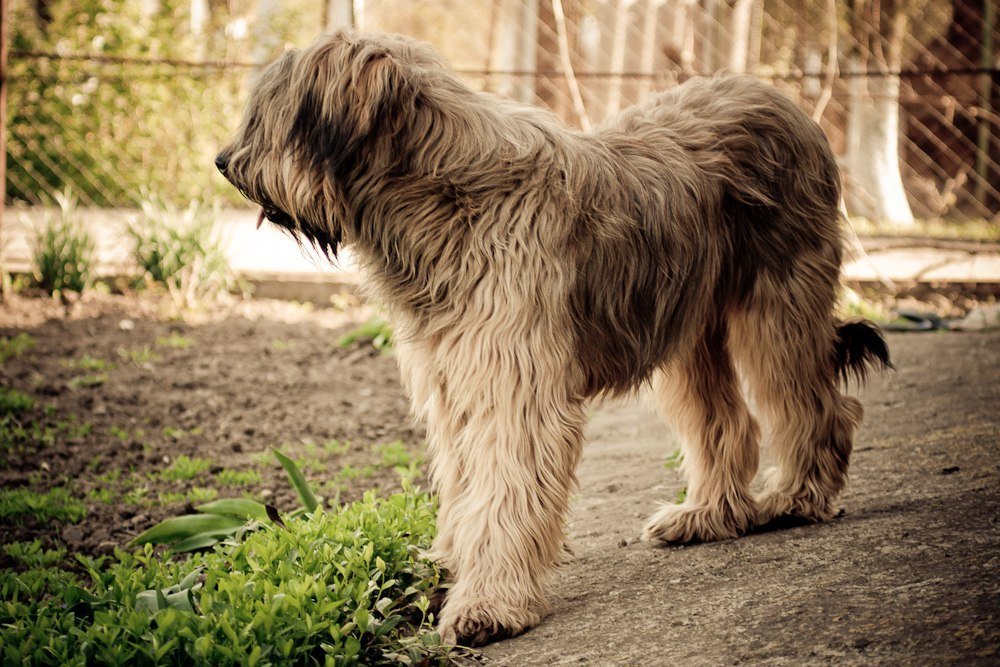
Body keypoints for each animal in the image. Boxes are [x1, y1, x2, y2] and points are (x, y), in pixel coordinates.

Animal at [217, 31, 892, 648]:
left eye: (271, 116)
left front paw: (488, 602)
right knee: (727, 421)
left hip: (776, 304)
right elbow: (464, 487)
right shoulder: (453, 379)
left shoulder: (513, 381)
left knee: (814, 403)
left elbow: (503, 486)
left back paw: (798, 496)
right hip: (685, 322)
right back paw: (706, 516)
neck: (442, 196)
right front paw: (446, 572)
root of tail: (782, 101)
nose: (224, 162)